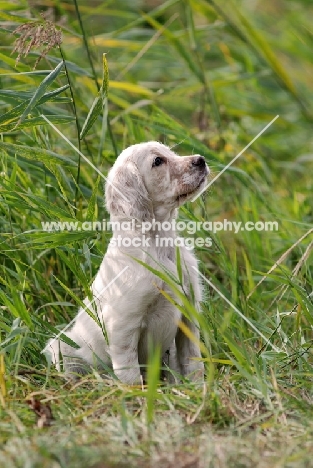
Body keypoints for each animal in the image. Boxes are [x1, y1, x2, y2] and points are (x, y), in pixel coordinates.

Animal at [47, 141, 208, 382]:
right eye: (158, 161)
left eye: (171, 152)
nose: (201, 160)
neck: (158, 245)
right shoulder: (123, 327)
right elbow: (131, 375)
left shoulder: (188, 314)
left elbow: (193, 362)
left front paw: (198, 389)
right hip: (62, 347)